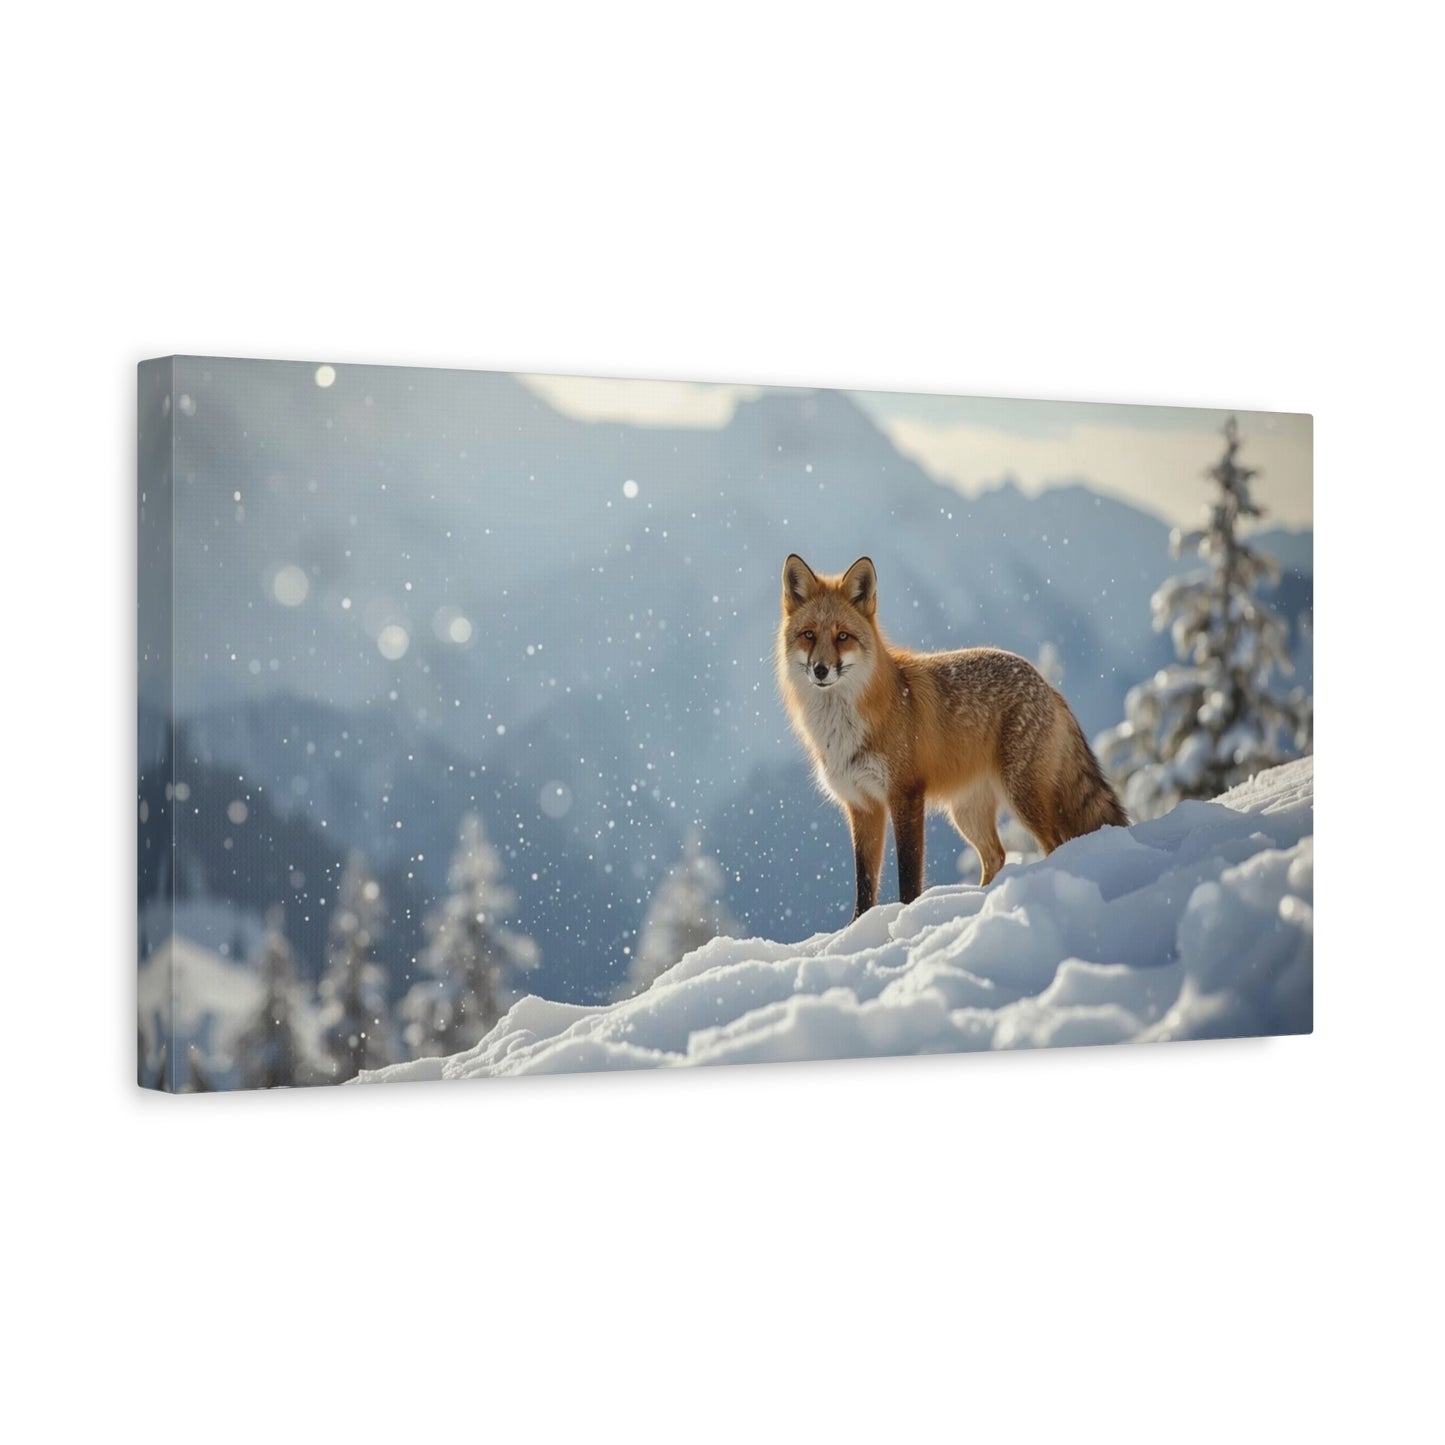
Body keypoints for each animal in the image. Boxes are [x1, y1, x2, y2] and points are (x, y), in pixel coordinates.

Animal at [777, 554, 1128, 918]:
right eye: (808, 634)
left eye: (843, 636)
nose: (820, 670)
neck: (844, 728)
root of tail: (1047, 683)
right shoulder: (862, 805)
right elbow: (864, 886)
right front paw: (858, 928)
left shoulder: (905, 794)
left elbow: (909, 878)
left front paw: (907, 919)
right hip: (967, 813)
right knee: (996, 855)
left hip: (1022, 796)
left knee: (1055, 843)